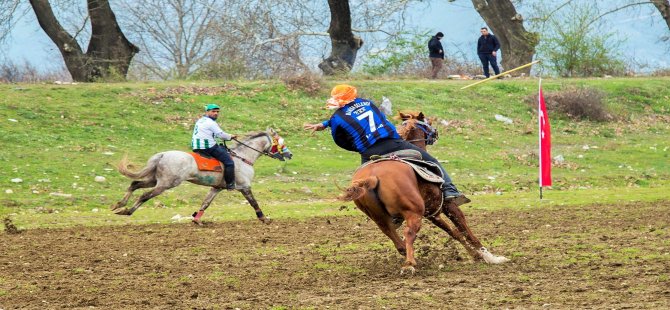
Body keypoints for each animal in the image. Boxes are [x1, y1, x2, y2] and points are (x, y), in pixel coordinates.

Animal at [111, 127, 292, 224]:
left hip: (154, 180)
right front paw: (264, 218)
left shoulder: (216, 188)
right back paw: (127, 211)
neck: (242, 157)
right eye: (281, 142)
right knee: (144, 195)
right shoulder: (244, 187)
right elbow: (254, 203)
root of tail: (162, 155)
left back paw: (119, 205)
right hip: (166, 184)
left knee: (135, 184)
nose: (290, 155)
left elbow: (205, 203)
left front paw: (197, 219)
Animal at [342, 111, 510, 274]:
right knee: (409, 233)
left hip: (380, 218)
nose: (435, 132)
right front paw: (490, 257)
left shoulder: (432, 214)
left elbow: (454, 232)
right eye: (427, 122)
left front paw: (476, 255)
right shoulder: (449, 206)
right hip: (413, 212)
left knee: (395, 238)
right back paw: (409, 265)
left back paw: (410, 258)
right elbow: (465, 230)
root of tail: (372, 176)